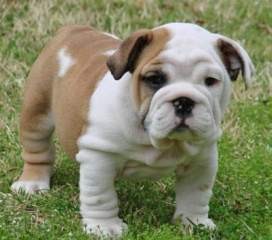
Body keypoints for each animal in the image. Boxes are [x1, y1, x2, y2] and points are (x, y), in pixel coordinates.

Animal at [11, 23, 255, 238]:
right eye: (155, 79)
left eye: (210, 81)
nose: (184, 101)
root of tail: (72, 30)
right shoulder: (99, 158)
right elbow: (101, 196)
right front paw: (104, 228)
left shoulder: (202, 160)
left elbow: (196, 194)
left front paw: (194, 223)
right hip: (37, 111)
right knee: (37, 150)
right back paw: (32, 184)